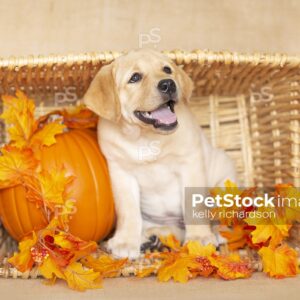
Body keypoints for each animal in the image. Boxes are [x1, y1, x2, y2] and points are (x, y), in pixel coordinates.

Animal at [83, 49, 236, 258]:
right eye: (135, 77)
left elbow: (193, 206)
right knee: (170, 231)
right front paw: (125, 241)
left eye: (167, 70)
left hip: (224, 179)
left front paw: (199, 238)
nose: (168, 84)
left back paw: (217, 233)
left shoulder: (190, 163)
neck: (145, 137)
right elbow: (128, 211)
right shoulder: (121, 173)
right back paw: (152, 239)